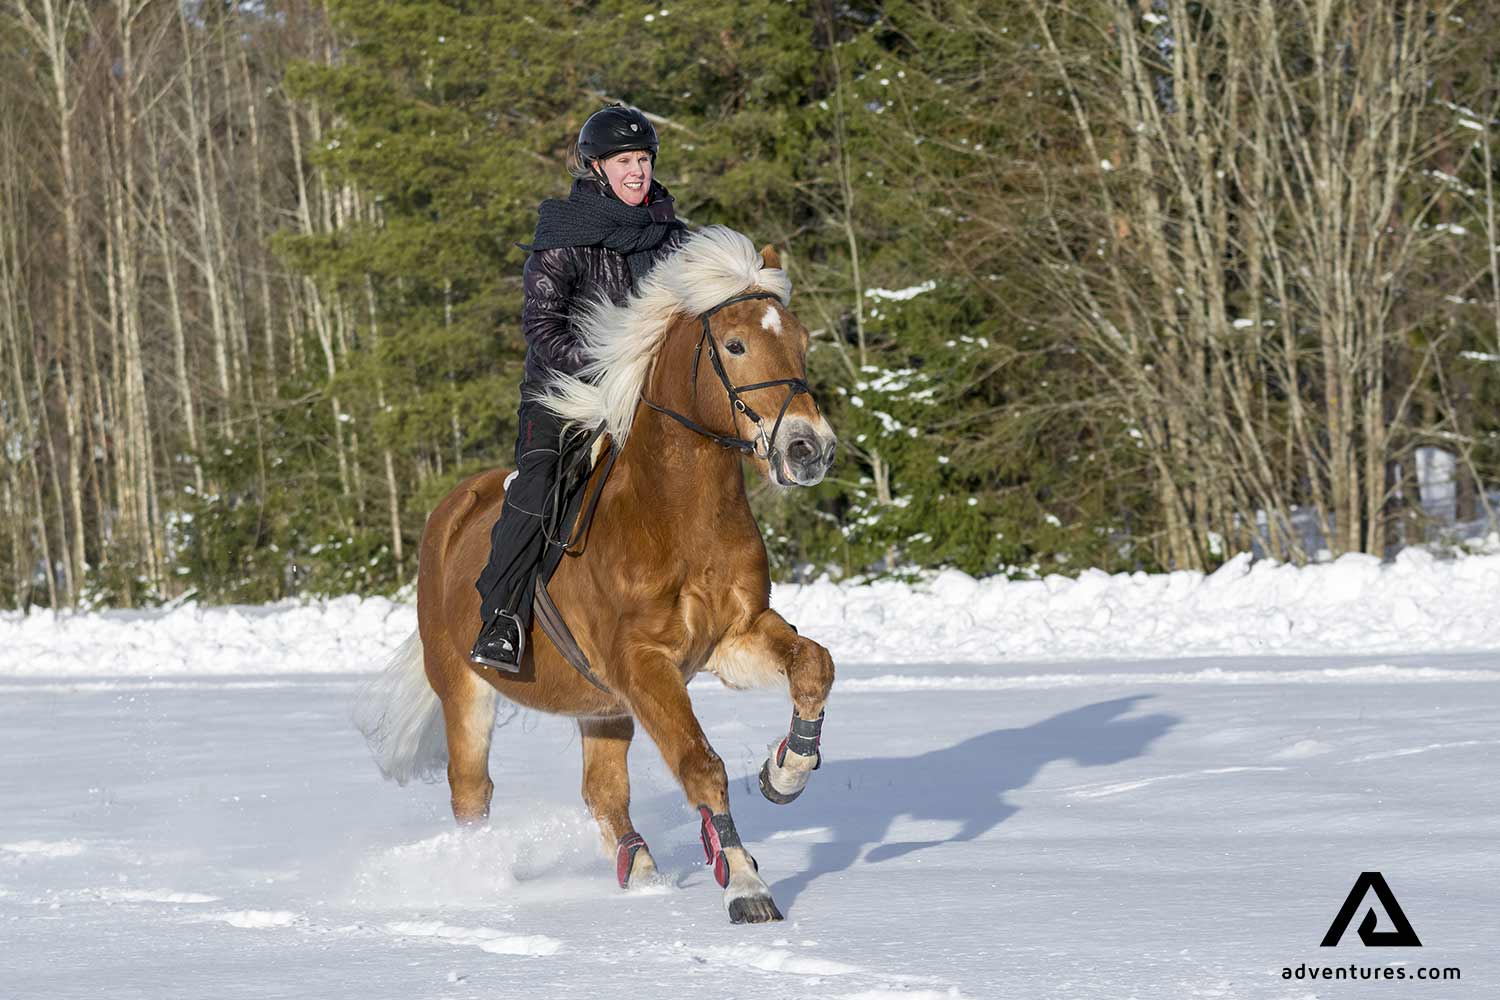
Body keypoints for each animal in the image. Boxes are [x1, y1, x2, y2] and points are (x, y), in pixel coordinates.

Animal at [354, 226, 839, 924]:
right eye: (735, 344)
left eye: (800, 340)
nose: (809, 449)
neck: (676, 515)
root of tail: (449, 513)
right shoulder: (642, 664)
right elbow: (701, 764)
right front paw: (747, 887)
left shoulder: (733, 637)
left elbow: (813, 665)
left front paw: (787, 771)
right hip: (465, 689)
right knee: (471, 792)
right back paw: (478, 878)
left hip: (601, 706)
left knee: (602, 791)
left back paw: (640, 872)